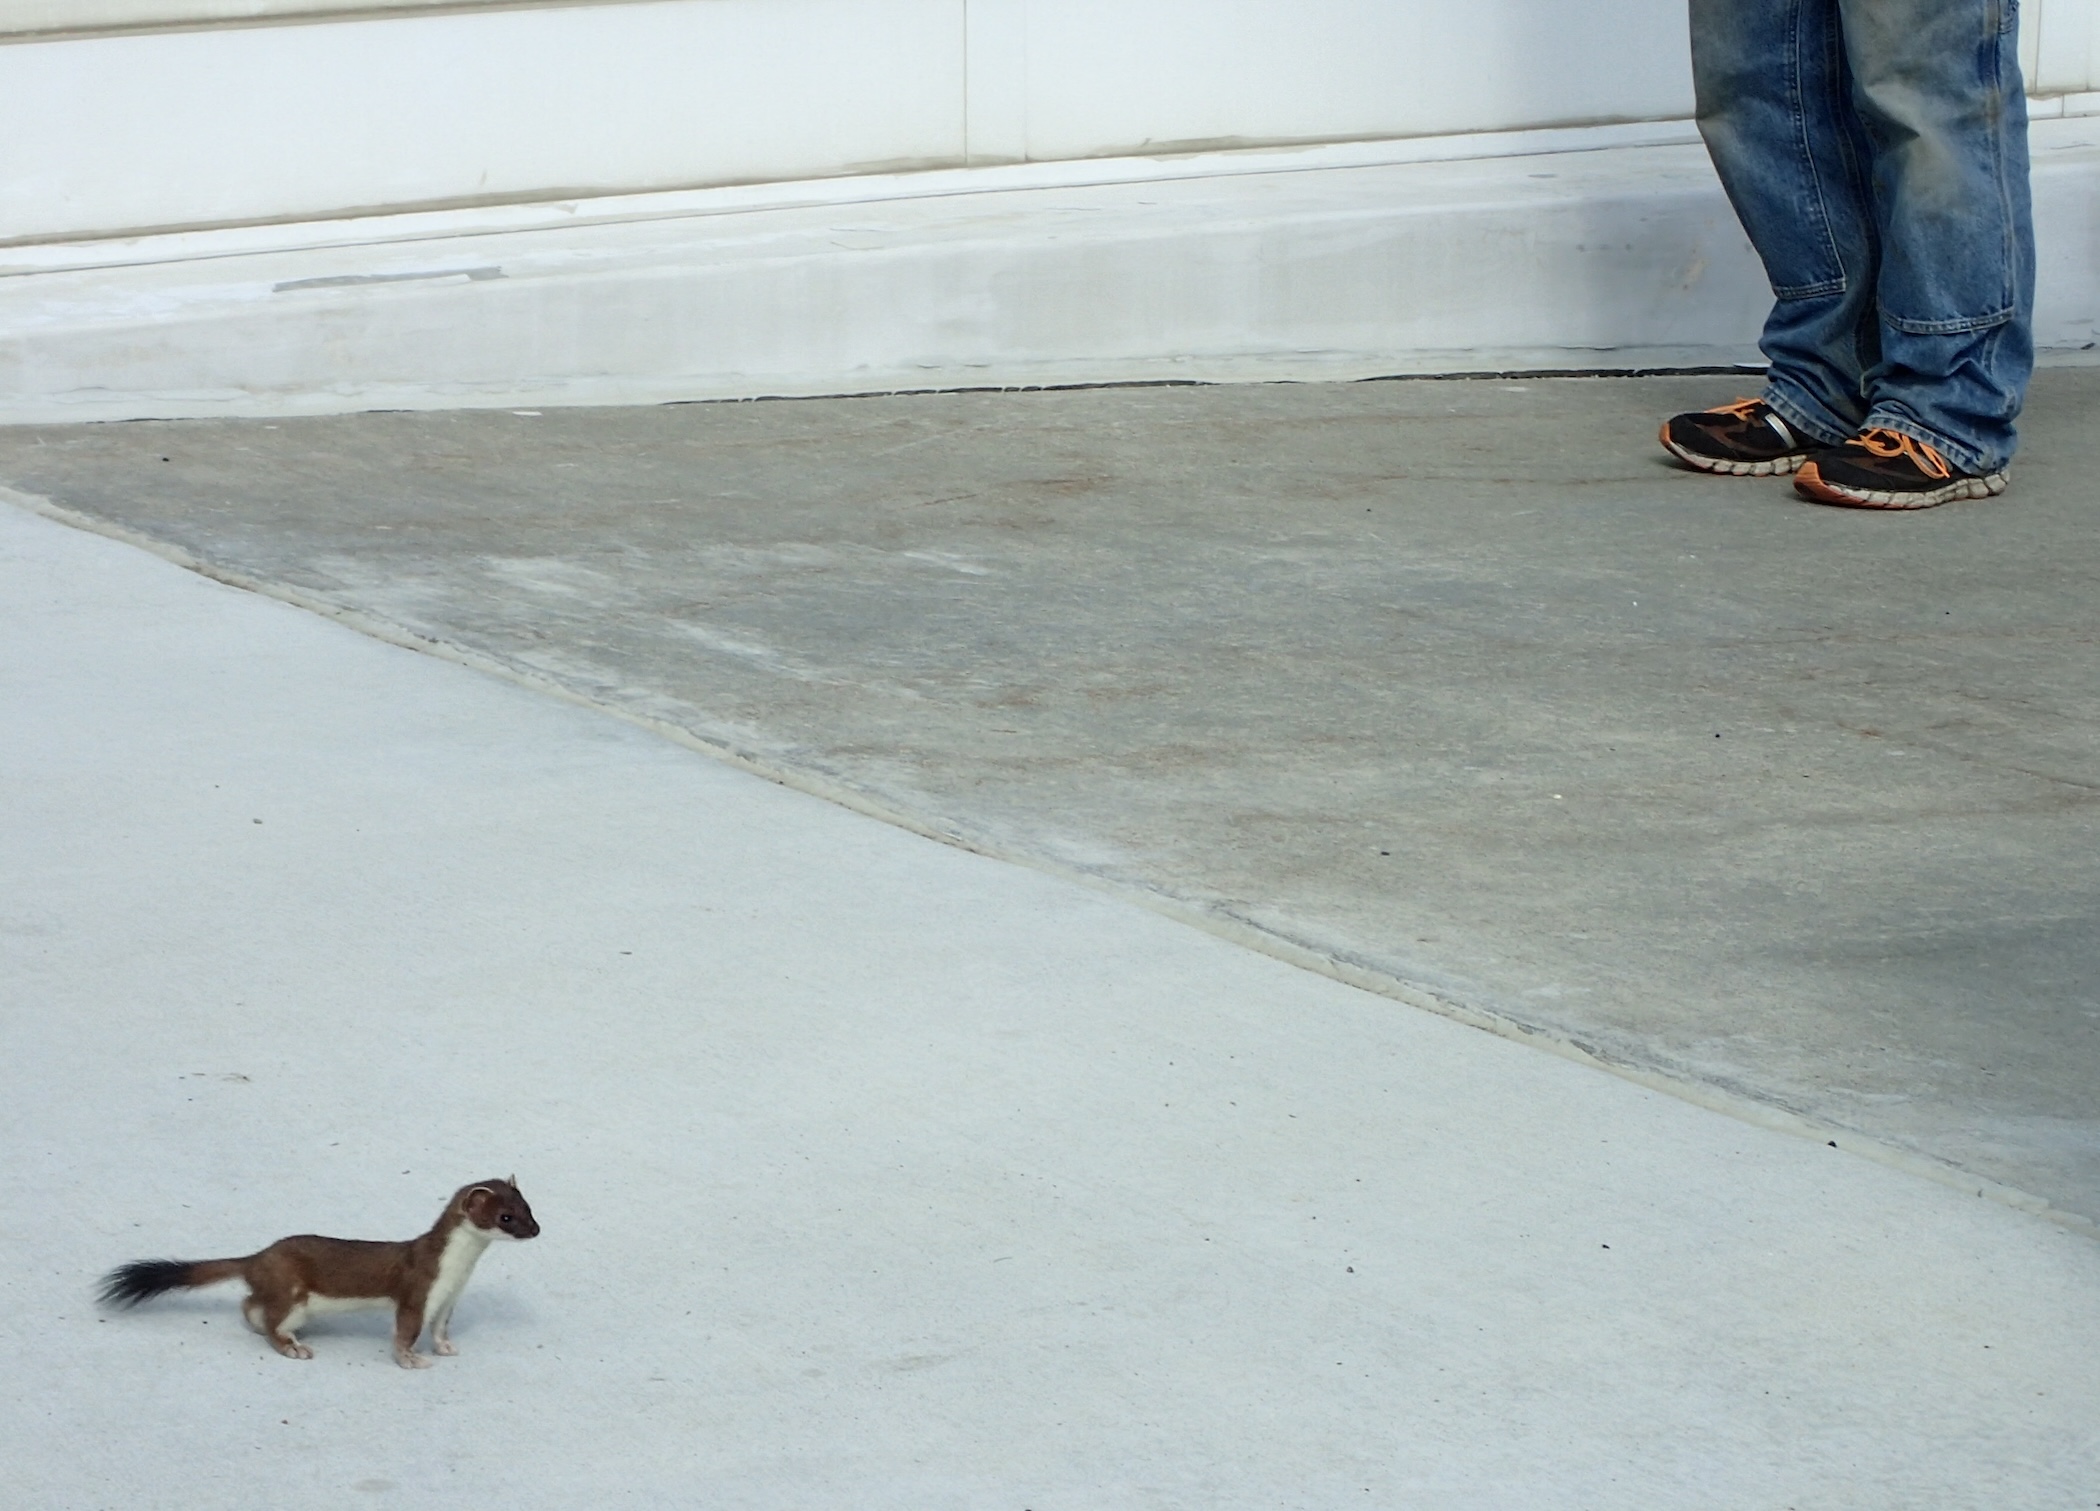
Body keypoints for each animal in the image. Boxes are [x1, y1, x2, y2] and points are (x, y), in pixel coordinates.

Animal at [102, 1183, 537, 1368]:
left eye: (529, 1207)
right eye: (505, 1217)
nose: (536, 1230)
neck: (459, 1268)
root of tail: (258, 1257)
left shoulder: (449, 1297)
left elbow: (442, 1327)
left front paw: (445, 1348)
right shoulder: (418, 1291)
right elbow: (406, 1331)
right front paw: (413, 1360)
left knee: (250, 1303)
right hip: (293, 1293)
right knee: (273, 1320)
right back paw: (294, 1347)